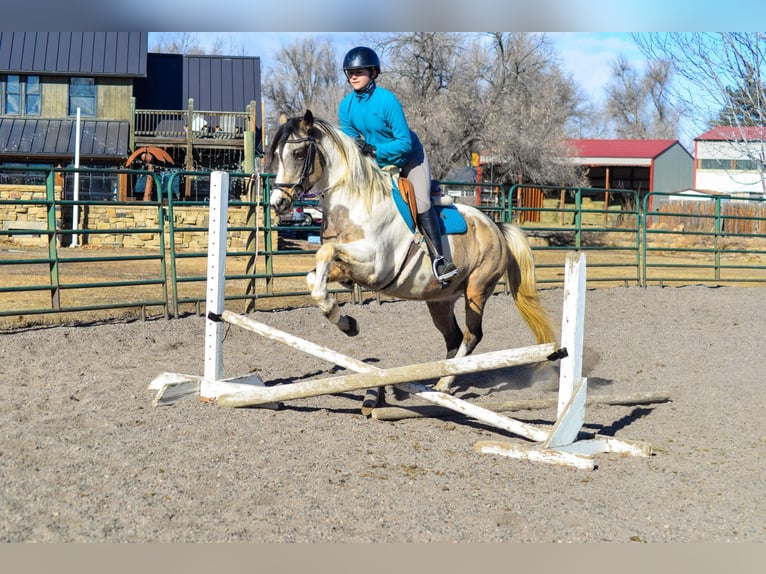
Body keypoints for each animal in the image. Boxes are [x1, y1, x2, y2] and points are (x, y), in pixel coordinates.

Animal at [268, 109, 556, 396]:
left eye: (299, 154)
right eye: (278, 154)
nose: (277, 203)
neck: (356, 203)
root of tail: (496, 227)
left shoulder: (375, 266)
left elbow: (325, 252)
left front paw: (344, 321)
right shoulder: (347, 266)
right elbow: (314, 279)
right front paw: (347, 323)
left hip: (477, 289)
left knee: (472, 335)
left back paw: (444, 383)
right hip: (439, 300)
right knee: (453, 337)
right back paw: (440, 381)